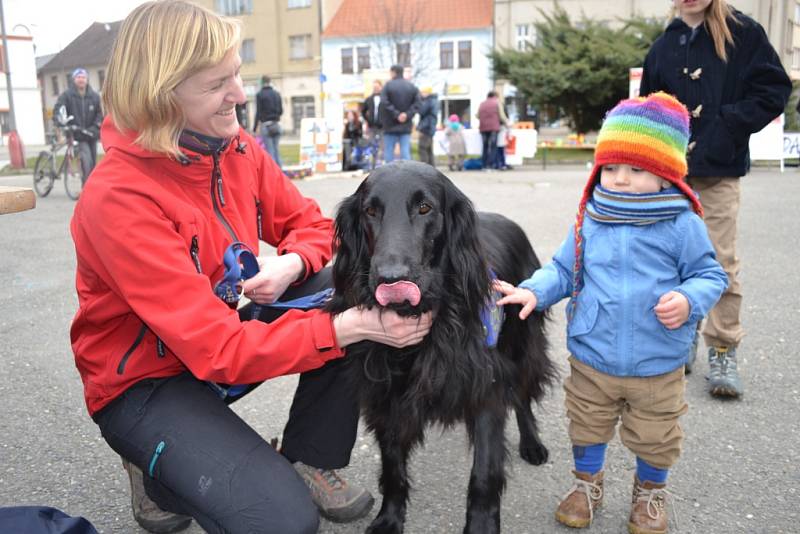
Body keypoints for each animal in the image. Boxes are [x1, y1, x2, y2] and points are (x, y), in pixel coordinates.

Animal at [328, 162, 552, 534]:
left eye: (425, 208)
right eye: (370, 211)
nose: (391, 279)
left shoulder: (487, 390)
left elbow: (484, 476)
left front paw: (480, 527)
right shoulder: (387, 398)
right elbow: (393, 468)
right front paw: (390, 518)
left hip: (523, 344)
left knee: (522, 396)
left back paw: (532, 443)